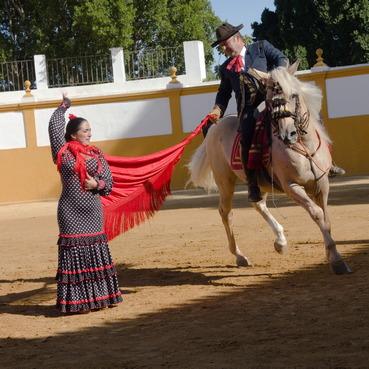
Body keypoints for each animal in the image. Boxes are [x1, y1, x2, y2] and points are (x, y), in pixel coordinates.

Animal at [188, 64, 350, 274]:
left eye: (294, 95)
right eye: (271, 101)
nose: (287, 134)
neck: (304, 146)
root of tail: (216, 126)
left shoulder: (322, 184)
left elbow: (326, 218)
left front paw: (333, 256)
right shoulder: (291, 186)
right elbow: (317, 213)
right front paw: (336, 260)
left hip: (259, 182)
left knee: (258, 204)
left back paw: (280, 242)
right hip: (225, 181)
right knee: (226, 212)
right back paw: (240, 256)